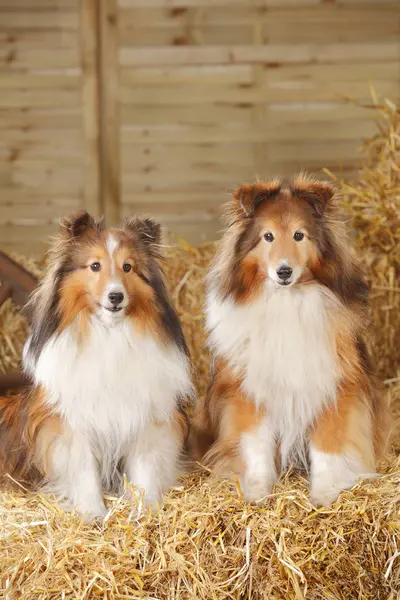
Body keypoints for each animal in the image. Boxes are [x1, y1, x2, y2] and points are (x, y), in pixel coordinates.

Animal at [0, 212, 194, 520]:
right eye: (95, 266)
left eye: (127, 267)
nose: (116, 297)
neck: (109, 333)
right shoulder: (71, 423)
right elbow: (83, 471)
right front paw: (93, 513)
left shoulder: (147, 418)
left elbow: (145, 470)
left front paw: (144, 511)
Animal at [192, 175, 390, 506]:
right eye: (268, 236)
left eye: (299, 235)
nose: (284, 271)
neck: (286, 301)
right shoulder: (247, 391)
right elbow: (255, 447)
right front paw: (255, 493)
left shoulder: (335, 385)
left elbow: (328, 446)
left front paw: (326, 494)